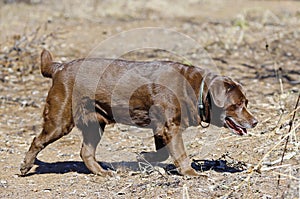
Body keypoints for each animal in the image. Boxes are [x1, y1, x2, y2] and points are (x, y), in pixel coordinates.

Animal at [19, 49, 256, 176]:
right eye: (238, 104)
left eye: (246, 102)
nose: (255, 122)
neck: (197, 89)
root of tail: (59, 67)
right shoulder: (170, 127)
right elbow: (180, 153)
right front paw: (190, 173)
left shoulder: (160, 128)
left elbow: (162, 153)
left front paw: (144, 156)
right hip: (60, 119)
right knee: (37, 140)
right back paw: (25, 166)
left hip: (95, 123)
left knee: (86, 152)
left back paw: (102, 172)